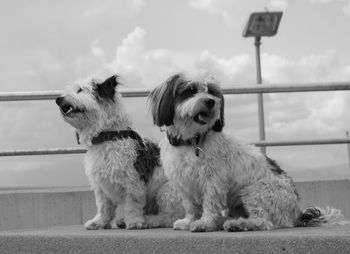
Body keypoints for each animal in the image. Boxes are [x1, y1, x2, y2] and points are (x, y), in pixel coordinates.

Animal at [56, 74, 183, 229]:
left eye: (80, 90)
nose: (58, 99)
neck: (108, 136)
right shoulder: (100, 185)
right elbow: (103, 206)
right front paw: (99, 222)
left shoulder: (132, 182)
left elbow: (132, 205)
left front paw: (134, 222)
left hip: (167, 191)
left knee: (170, 217)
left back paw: (150, 220)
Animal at [148, 73, 348, 232]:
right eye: (190, 90)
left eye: (211, 92)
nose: (211, 101)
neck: (191, 141)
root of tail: (296, 213)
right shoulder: (183, 182)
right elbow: (190, 206)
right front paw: (188, 221)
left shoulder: (213, 181)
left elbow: (210, 204)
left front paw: (204, 223)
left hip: (254, 191)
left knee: (264, 221)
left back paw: (237, 224)